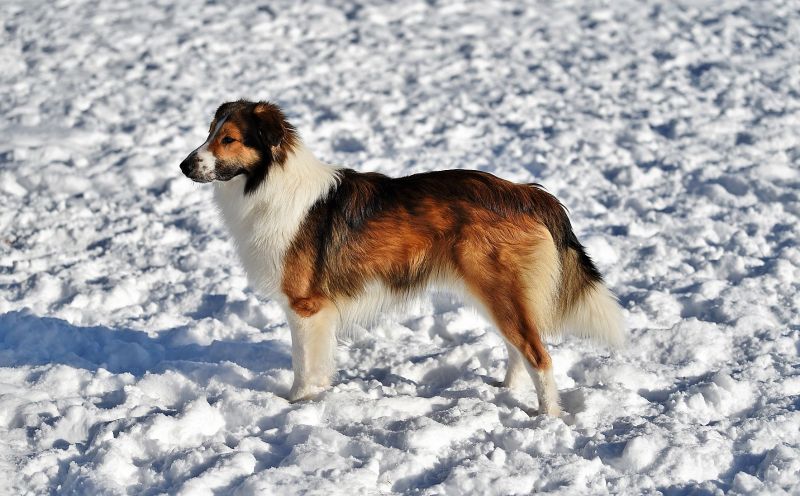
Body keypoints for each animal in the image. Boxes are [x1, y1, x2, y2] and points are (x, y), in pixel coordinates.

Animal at [181, 100, 624, 414]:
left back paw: (548, 418)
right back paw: (505, 390)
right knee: (520, 348)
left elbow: (303, 365)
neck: (268, 183)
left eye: (229, 139)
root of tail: (525, 192)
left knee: (539, 356)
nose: (184, 165)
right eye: (209, 133)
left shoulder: (305, 307)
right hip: (498, 294)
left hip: (499, 290)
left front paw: (297, 404)